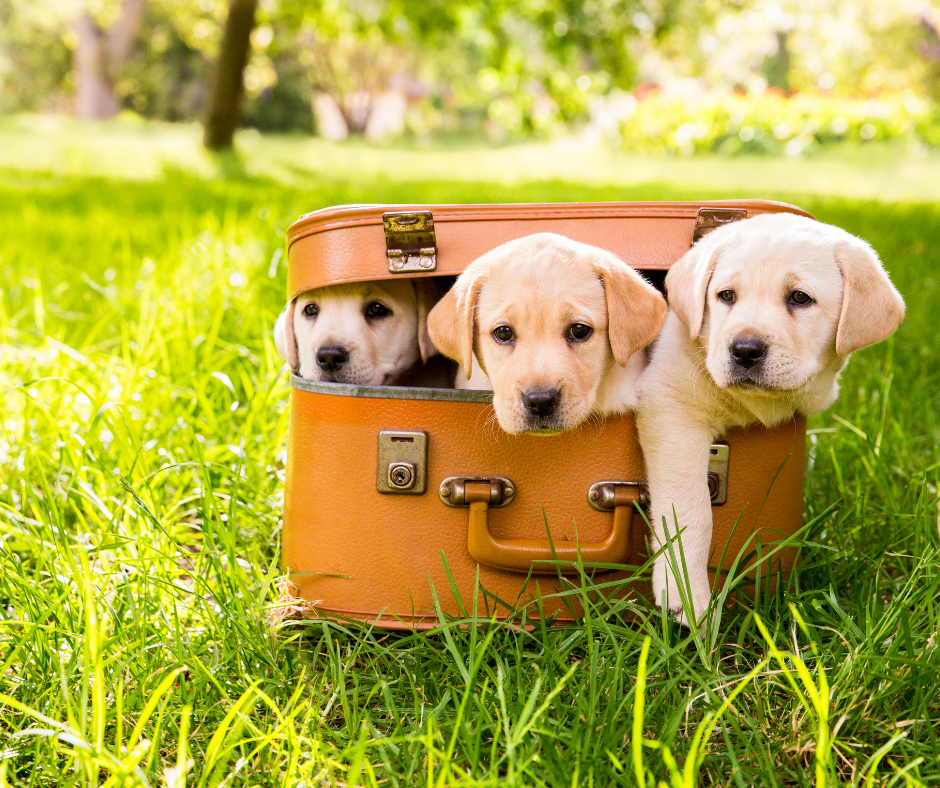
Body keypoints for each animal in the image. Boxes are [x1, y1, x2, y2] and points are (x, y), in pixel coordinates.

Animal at [636, 211, 908, 628]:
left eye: (799, 298)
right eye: (726, 296)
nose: (745, 350)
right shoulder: (668, 406)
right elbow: (690, 509)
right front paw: (686, 592)